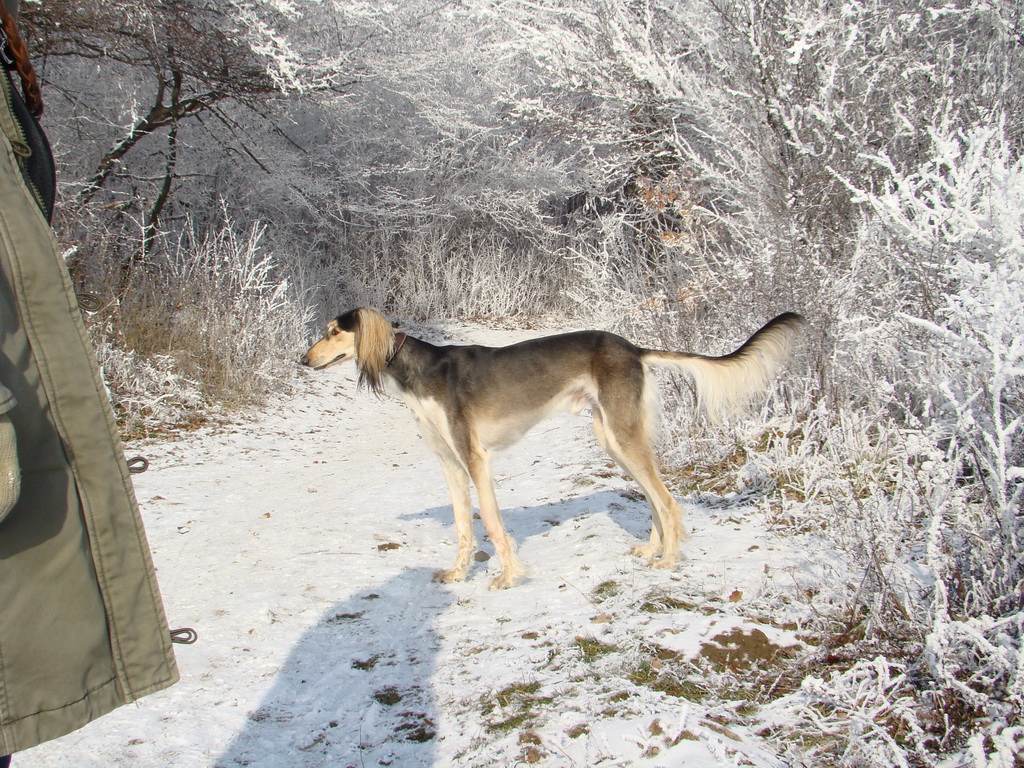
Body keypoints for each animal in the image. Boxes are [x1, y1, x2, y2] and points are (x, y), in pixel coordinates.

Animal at [299, 309, 802, 593]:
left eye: (332, 331)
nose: (303, 360)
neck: (418, 371)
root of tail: (633, 348)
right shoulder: (449, 463)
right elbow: (463, 528)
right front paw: (457, 576)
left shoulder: (475, 459)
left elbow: (494, 525)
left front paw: (508, 577)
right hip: (614, 438)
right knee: (655, 499)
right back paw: (652, 550)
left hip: (622, 436)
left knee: (668, 500)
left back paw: (670, 560)